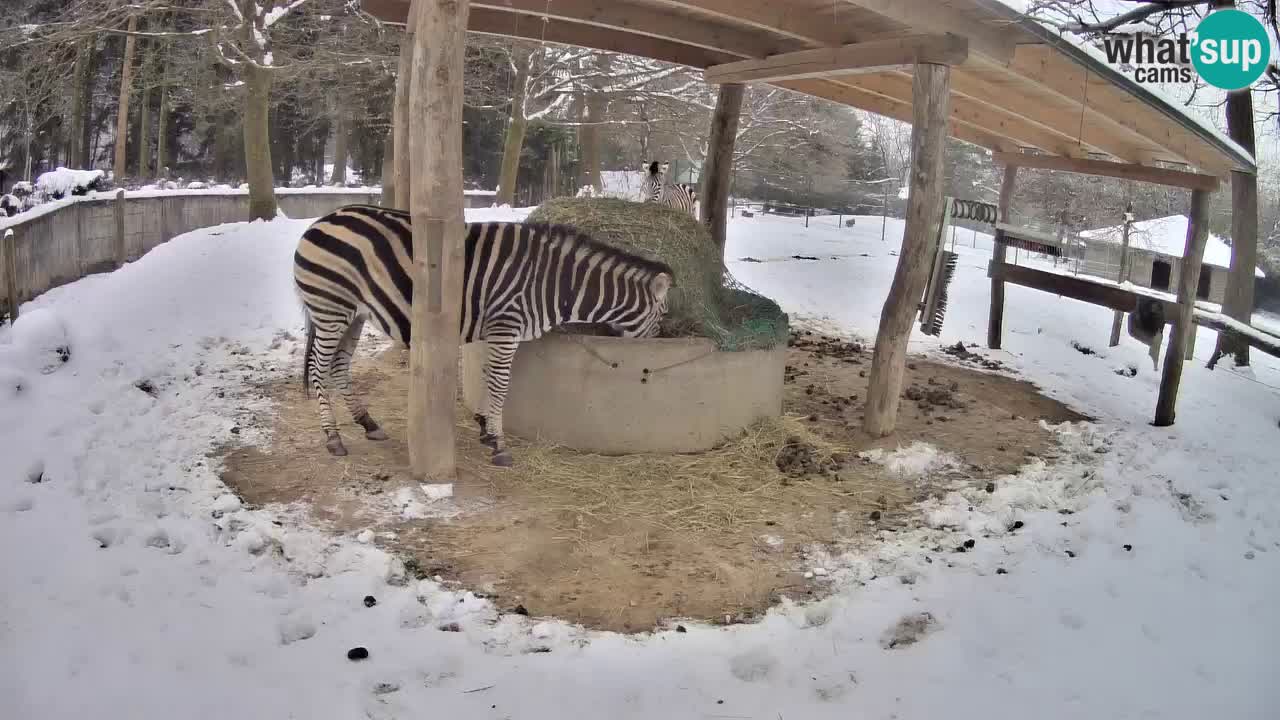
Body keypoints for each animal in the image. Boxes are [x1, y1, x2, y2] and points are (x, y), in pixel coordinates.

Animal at [293, 204, 673, 466]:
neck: (554, 284)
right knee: (319, 369)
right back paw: (333, 438)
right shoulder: (506, 327)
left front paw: (486, 431)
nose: (658, 345)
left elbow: (490, 380)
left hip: (353, 315)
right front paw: (499, 444)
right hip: (331, 309)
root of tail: (320, 220)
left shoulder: (495, 332)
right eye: (663, 315)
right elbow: (500, 385)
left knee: (339, 367)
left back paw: (368, 423)